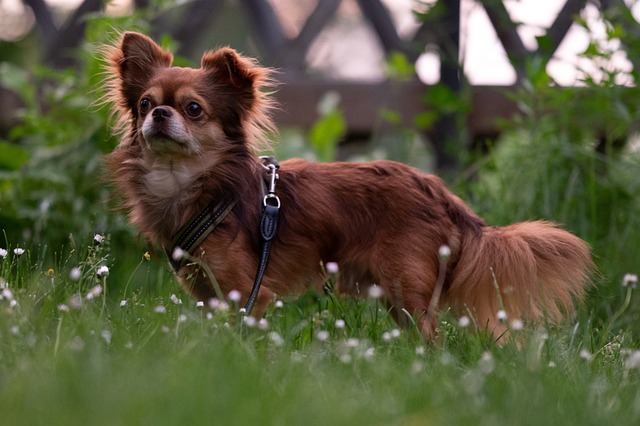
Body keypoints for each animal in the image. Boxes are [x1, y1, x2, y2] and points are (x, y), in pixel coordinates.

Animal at [102, 32, 592, 340]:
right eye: (144, 103)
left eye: (193, 109)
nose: (158, 114)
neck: (189, 183)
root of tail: (444, 195)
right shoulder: (207, 293)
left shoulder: (246, 292)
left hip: (406, 287)